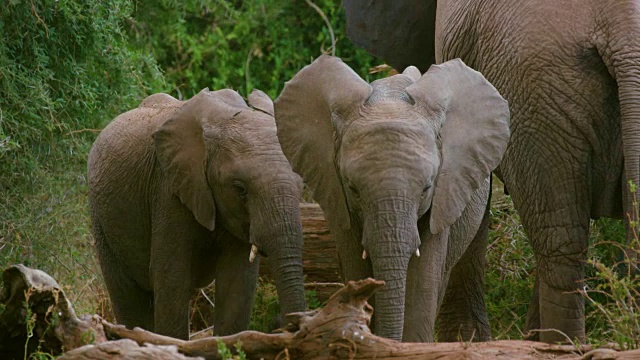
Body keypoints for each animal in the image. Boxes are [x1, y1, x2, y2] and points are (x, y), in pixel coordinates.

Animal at [89, 88, 306, 340]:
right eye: (239, 189)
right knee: (129, 298)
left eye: (301, 185)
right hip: (101, 219)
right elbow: (171, 277)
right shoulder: (168, 189)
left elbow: (237, 283)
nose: (284, 324)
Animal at [276, 54, 510, 342]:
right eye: (353, 189)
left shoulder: (443, 196)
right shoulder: (337, 196)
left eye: (427, 188)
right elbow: (356, 266)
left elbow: (422, 282)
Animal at [344, 0, 640, 344]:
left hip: (531, 81)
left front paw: (462, 341)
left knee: (558, 242)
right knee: (562, 240)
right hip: (542, 92)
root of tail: (623, 27)